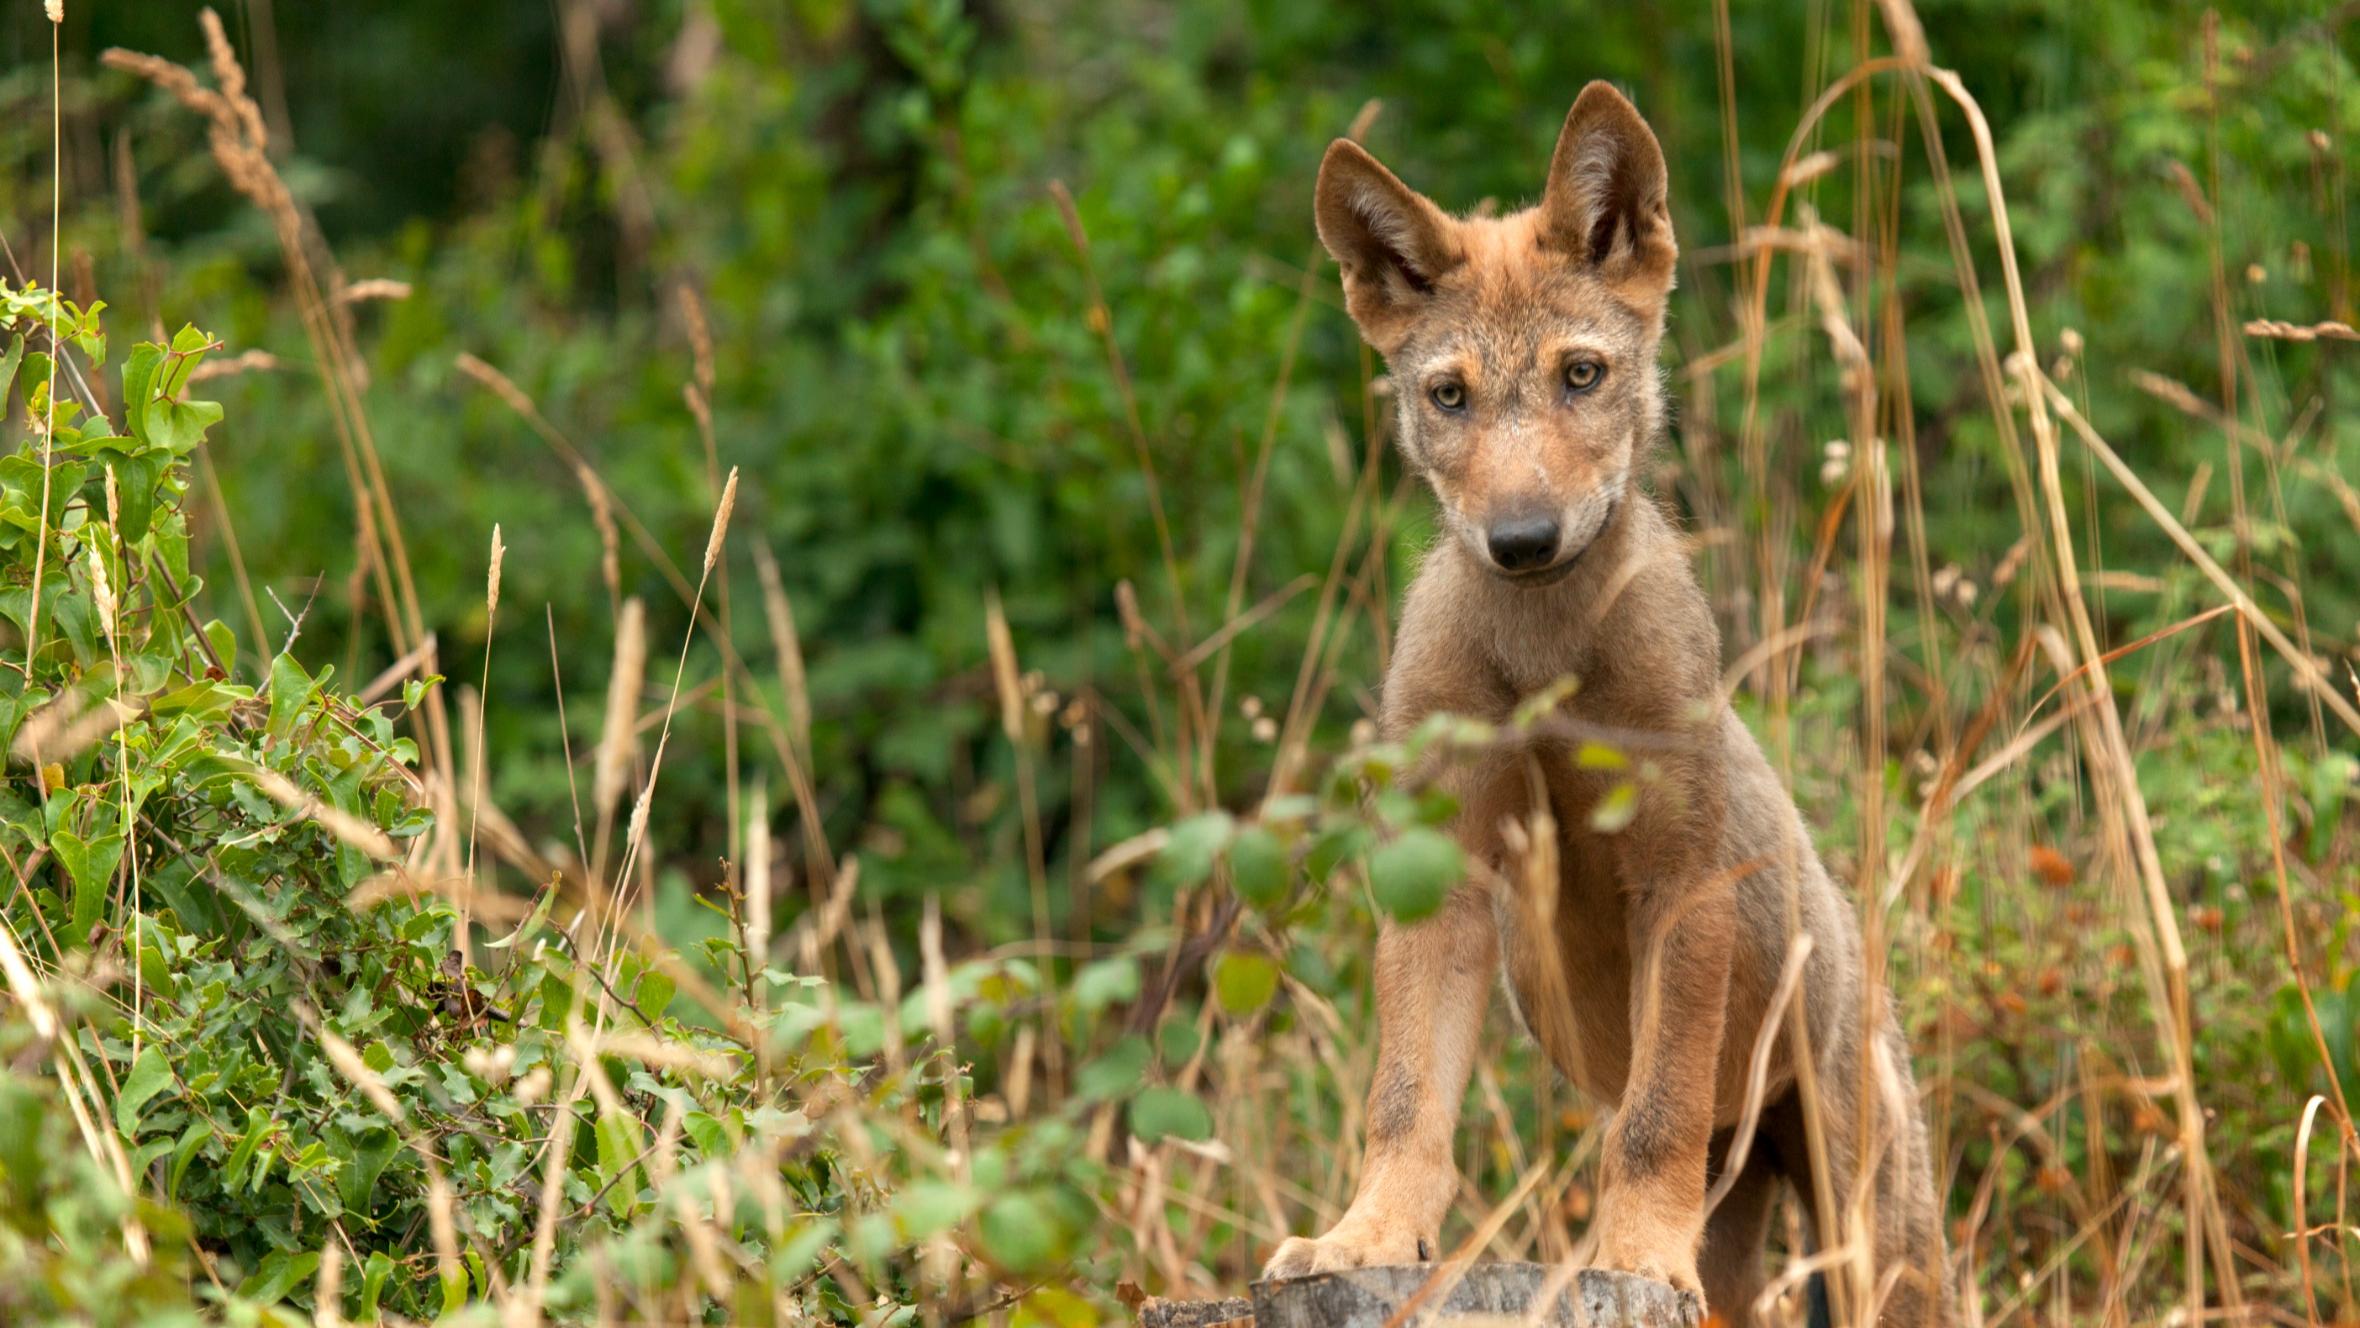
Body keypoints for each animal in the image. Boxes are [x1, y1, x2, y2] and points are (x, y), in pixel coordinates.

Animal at [1260, 83, 1953, 1327]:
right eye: (1448, 396)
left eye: (1579, 375)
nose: (1522, 537)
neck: (1541, 660)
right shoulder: (1436, 876)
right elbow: (1403, 1101)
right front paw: (1360, 1237)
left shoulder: (1681, 882)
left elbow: (1651, 1117)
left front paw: (1632, 1254)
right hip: (1752, 1207)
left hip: (1869, 1230)